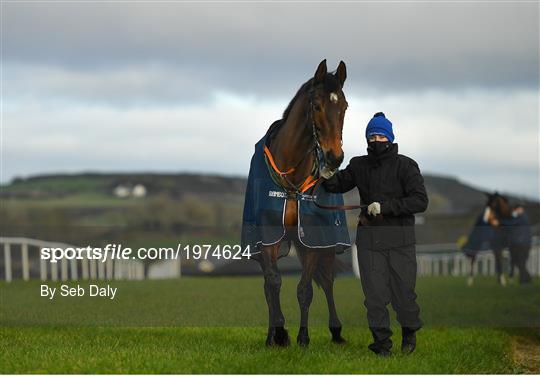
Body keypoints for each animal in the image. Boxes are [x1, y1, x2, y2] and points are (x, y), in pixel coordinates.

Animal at [260, 61, 348, 346]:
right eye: (317, 105)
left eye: (344, 106)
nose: (335, 157)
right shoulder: (268, 237)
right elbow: (272, 284)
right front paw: (276, 335)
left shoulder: (310, 239)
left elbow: (305, 289)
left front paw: (302, 337)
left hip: (325, 245)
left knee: (328, 280)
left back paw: (336, 331)